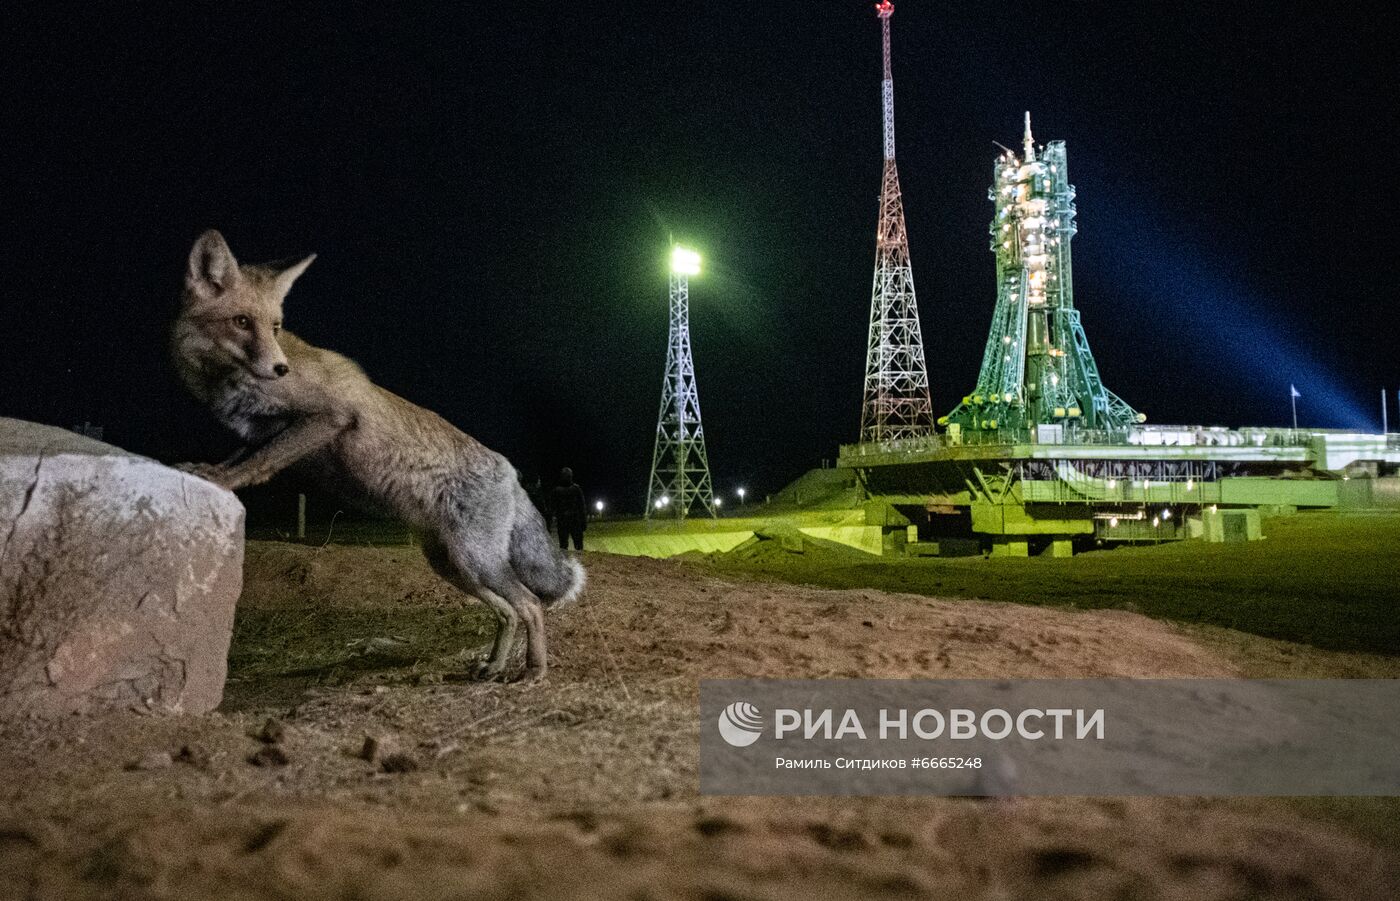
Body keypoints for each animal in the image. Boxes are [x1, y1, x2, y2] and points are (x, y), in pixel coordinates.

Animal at [172, 230, 582, 682]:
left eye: (275, 326)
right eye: (242, 322)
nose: (280, 369)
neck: (223, 381)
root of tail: (510, 471)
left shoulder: (329, 416)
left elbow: (258, 465)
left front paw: (222, 481)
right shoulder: (263, 431)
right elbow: (241, 457)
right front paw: (209, 470)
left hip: (476, 561)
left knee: (530, 604)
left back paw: (534, 671)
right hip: (454, 565)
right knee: (509, 611)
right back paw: (492, 665)